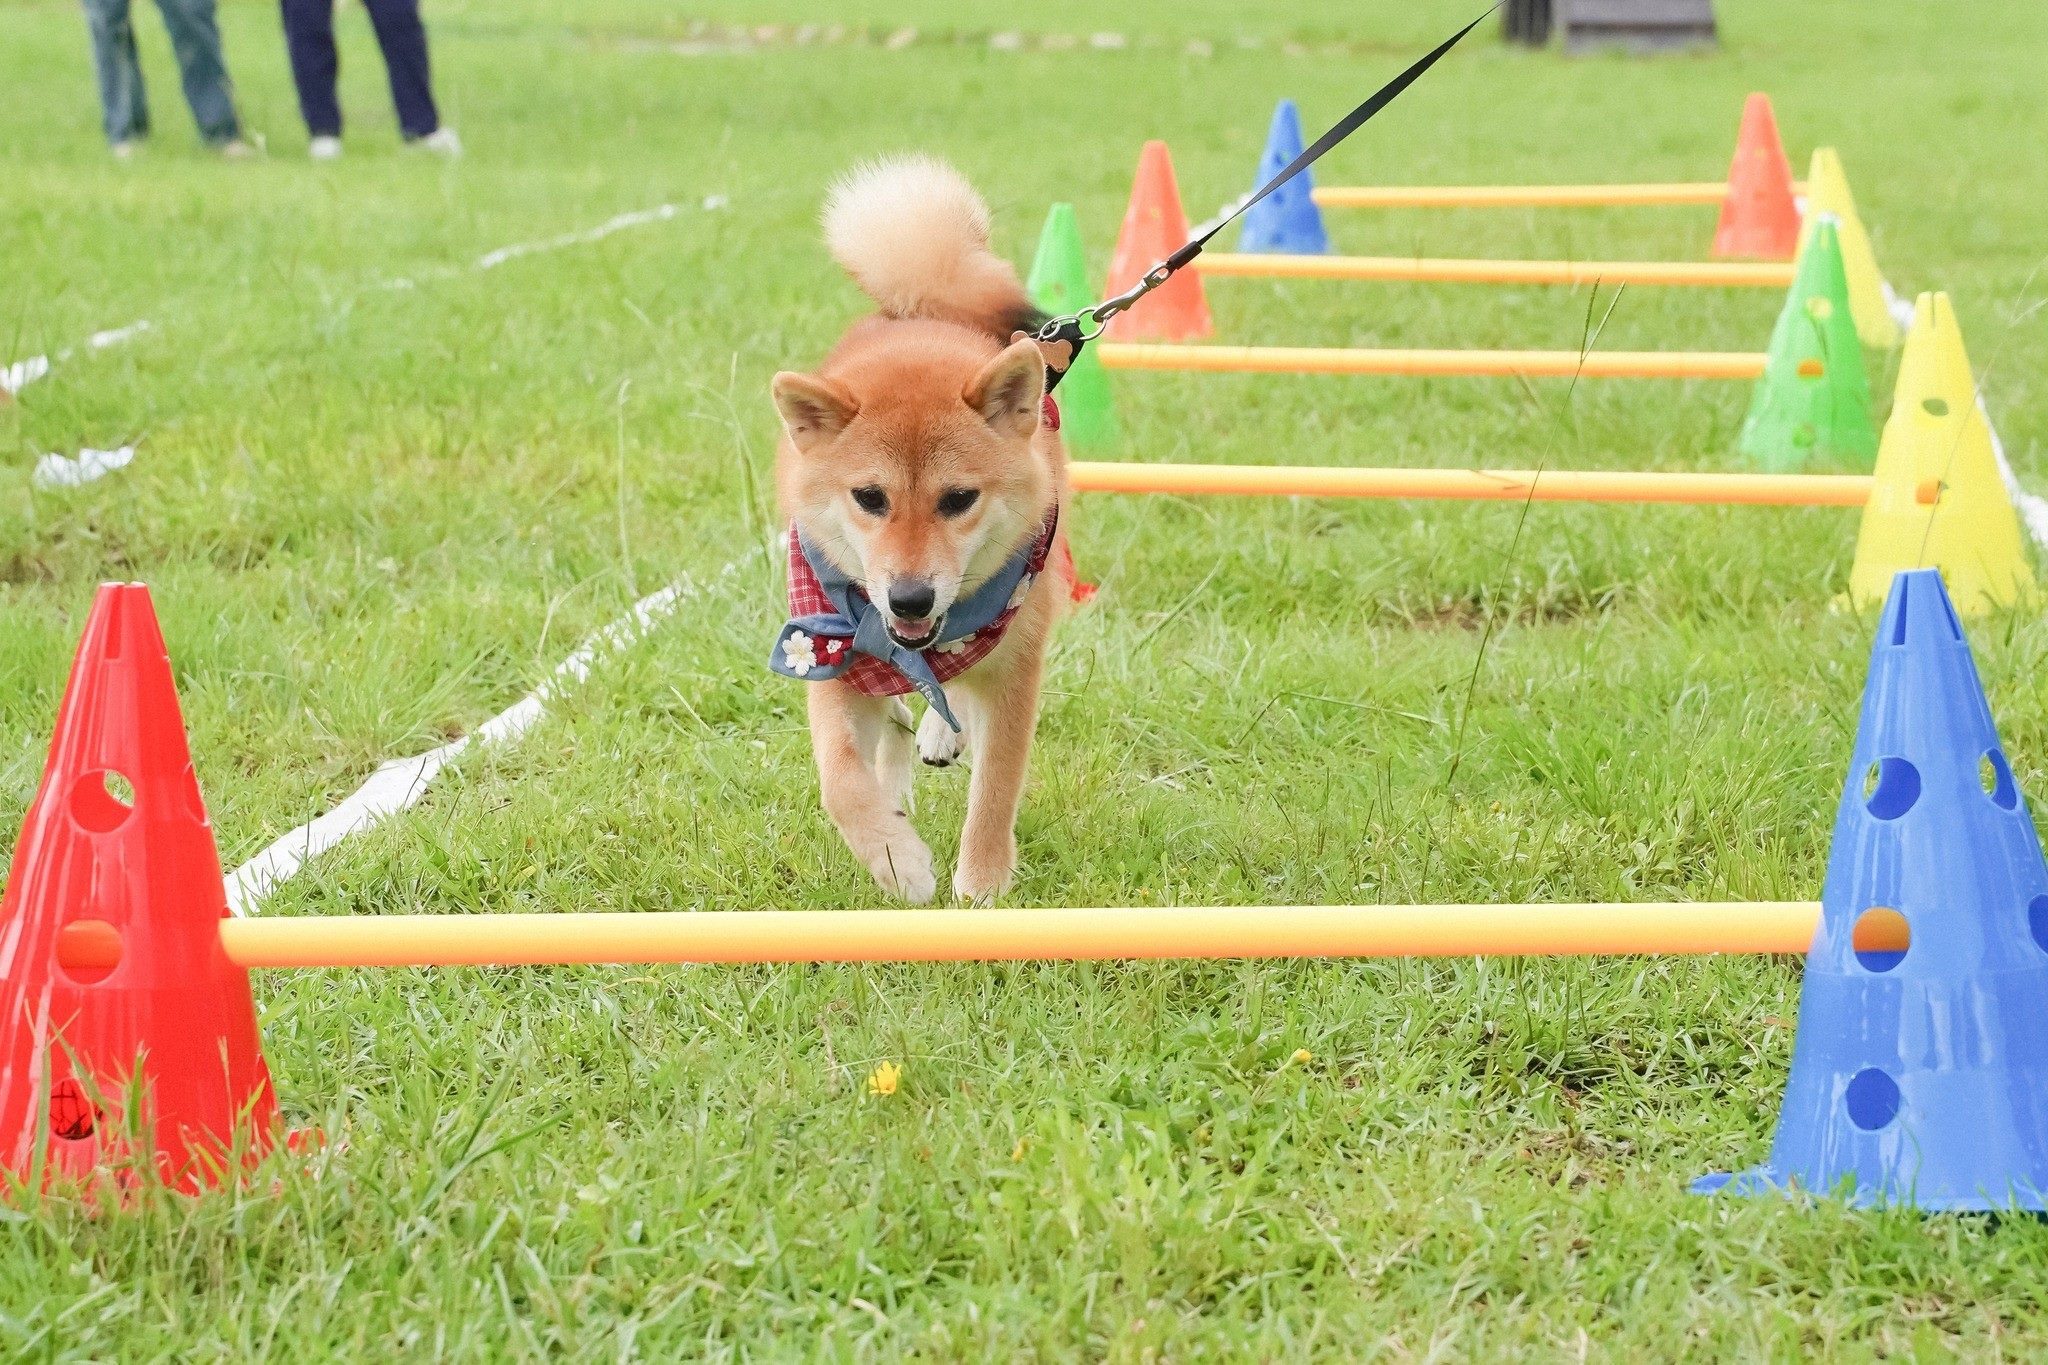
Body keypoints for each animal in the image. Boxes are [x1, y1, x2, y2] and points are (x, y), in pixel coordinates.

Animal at [770, 157, 1073, 908]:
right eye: (869, 498)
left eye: (958, 499)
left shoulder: (1017, 663)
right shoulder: (829, 650)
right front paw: (895, 859)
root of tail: (928, 305)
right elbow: (842, 780)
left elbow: (996, 787)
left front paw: (982, 885)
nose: (910, 598)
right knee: (898, 722)